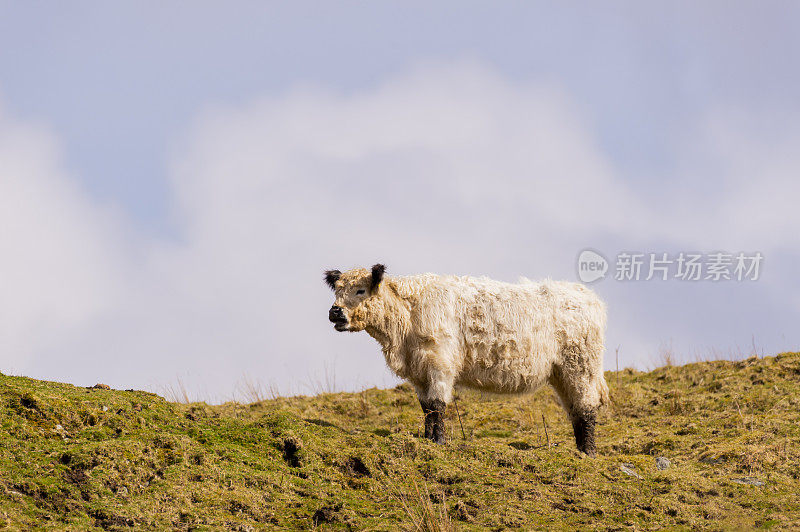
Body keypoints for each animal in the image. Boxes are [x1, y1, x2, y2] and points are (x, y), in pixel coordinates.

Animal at [322, 264, 608, 456]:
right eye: (337, 291)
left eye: (360, 290)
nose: (335, 311)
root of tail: (587, 295)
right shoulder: (419, 372)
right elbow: (427, 407)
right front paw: (427, 439)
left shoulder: (440, 363)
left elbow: (438, 404)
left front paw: (438, 442)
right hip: (562, 372)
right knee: (575, 410)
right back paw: (580, 450)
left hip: (580, 366)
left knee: (586, 408)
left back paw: (589, 452)